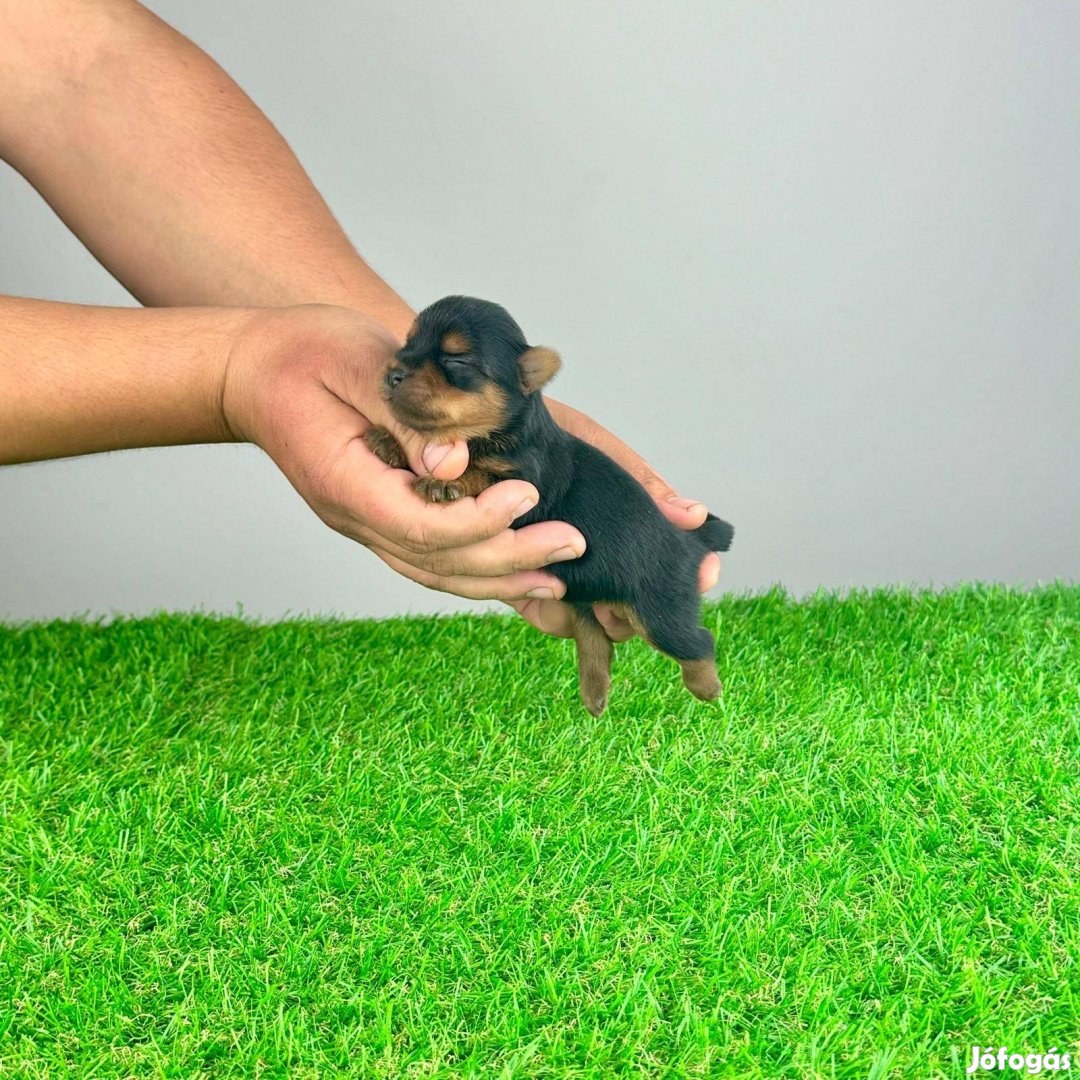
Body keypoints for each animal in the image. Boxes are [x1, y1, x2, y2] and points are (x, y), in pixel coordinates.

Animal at [365, 295, 734, 717]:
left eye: (456, 360)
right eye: (407, 344)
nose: (393, 372)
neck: (493, 434)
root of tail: (690, 542)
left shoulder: (528, 487)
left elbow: (479, 474)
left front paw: (447, 481)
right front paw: (387, 442)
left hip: (659, 606)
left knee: (697, 640)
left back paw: (707, 688)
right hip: (583, 597)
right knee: (595, 640)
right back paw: (595, 696)